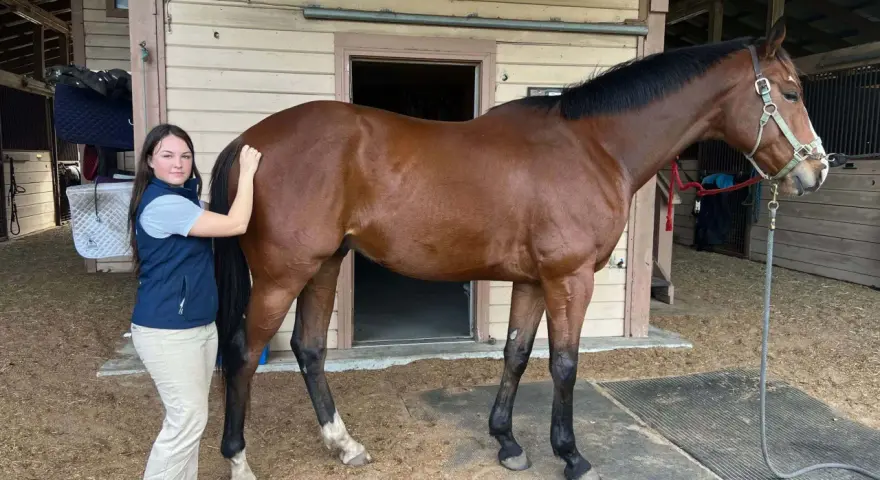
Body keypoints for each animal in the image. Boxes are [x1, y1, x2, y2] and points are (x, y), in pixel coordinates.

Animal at [207, 19, 828, 480]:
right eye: (791, 92)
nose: (817, 170)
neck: (594, 147)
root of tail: (250, 141)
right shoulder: (570, 279)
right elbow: (564, 363)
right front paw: (571, 454)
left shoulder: (533, 280)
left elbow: (516, 353)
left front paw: (506, 442)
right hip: (283, 275)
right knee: (242, 352)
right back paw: (238, 460)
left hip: (324, 265)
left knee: (309, 349)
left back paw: (344, 444)